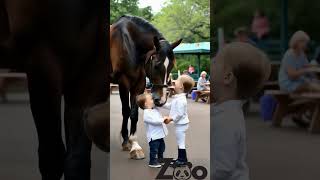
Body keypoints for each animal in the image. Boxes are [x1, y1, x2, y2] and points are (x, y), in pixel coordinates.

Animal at [110, 15, 181, 159]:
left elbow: (134, 113)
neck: (131, 44)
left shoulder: (139, 84)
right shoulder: (123, 82)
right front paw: (127, 142)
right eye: (156, 65)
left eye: (171, 66)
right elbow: (126, 111)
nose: (161, 100)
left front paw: (133, 145)